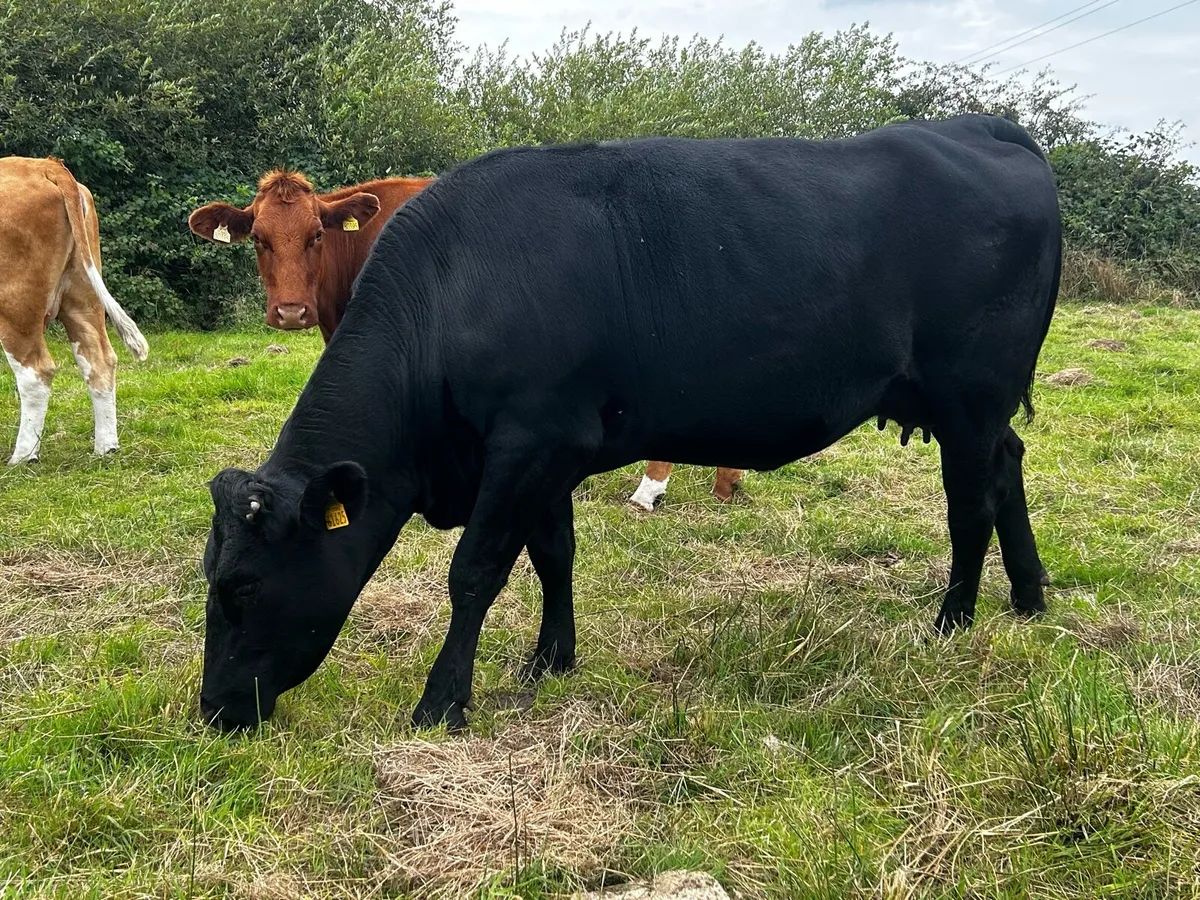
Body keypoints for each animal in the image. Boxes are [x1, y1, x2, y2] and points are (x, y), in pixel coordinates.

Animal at [0, 157, 149, 465]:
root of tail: (44, 165)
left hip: (15, 307)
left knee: (36, 372)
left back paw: (23, 456)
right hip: (84, 297)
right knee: (99, 360)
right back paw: (106, 447)